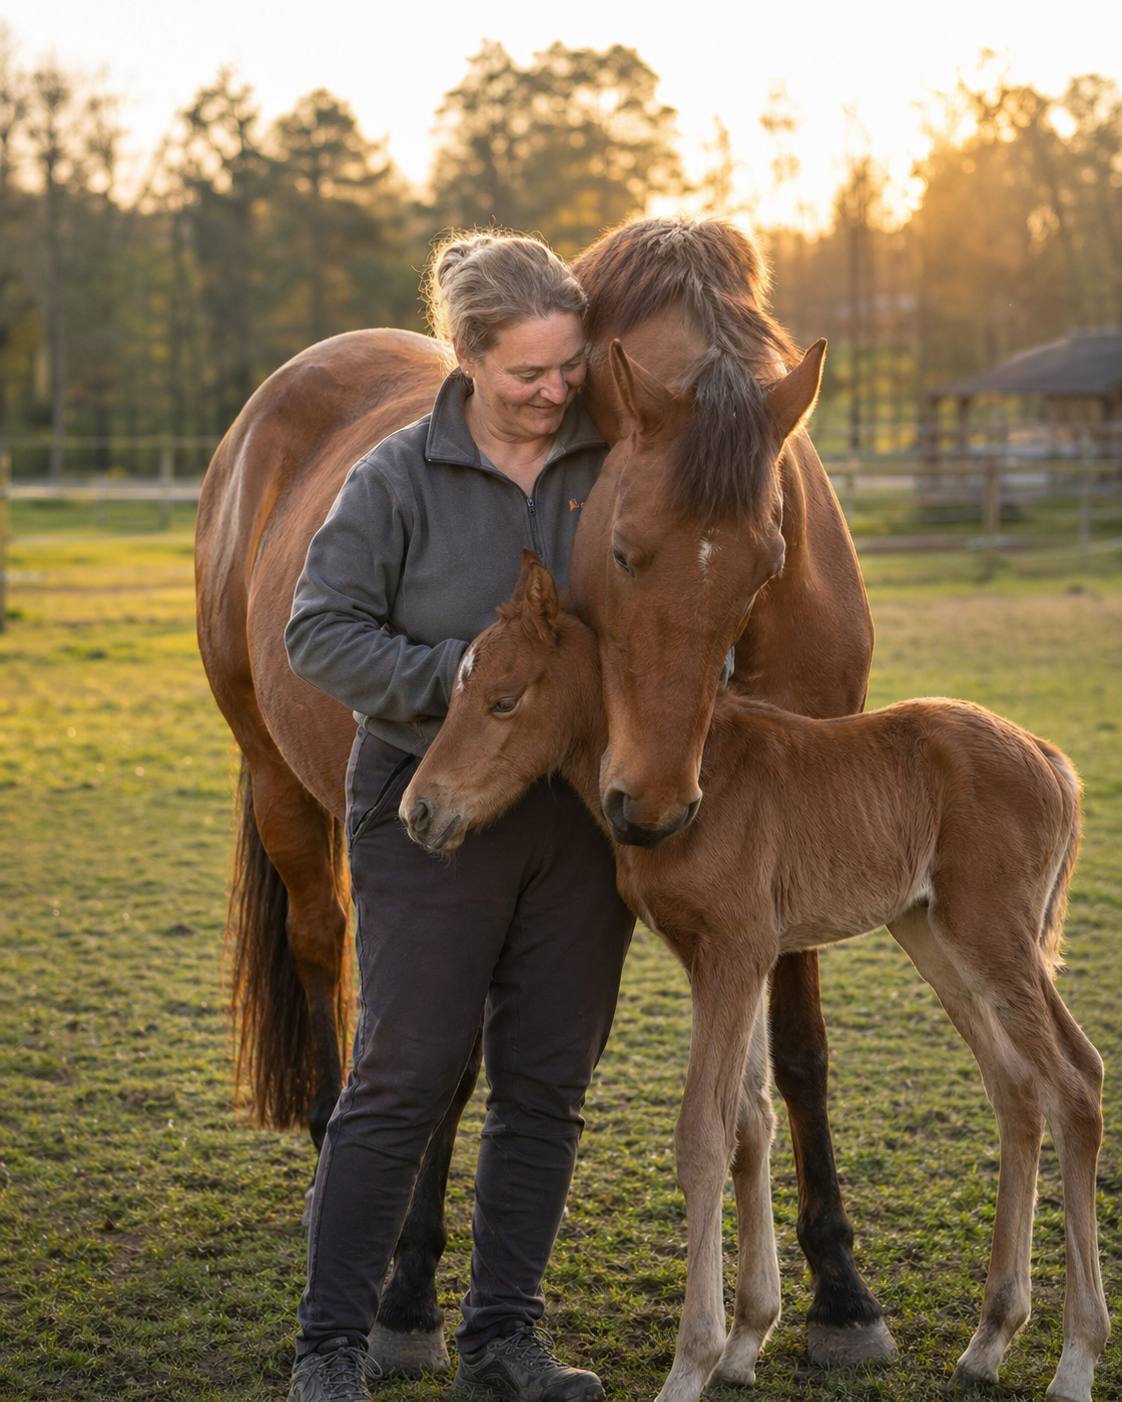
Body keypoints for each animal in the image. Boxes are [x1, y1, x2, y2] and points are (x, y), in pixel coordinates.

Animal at [194, 217, 882, 1374]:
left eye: (768, 556)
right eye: (622, 548)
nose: (652, 806)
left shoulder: (801, 844)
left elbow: (800, 1056)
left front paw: (842, 1289)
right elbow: (451, 1065)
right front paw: (408, 1292)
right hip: (278, 779)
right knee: (326, 949)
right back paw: (338, 1158)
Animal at [401, 548, 1108, 1402]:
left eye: (504, 702)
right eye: (454, 693)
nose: (419, 813)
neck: (693, 778)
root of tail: (1054, 761)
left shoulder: (735, 953)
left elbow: (704, 1137)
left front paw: (692, 1364)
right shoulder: (721, 959)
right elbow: (750, 1123)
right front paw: (745, 1342)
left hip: (995, 938)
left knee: (1076, 1080)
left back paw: (1076, 1359)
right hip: (937, 939)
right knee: (1016, 1090)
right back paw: (991, 1339)